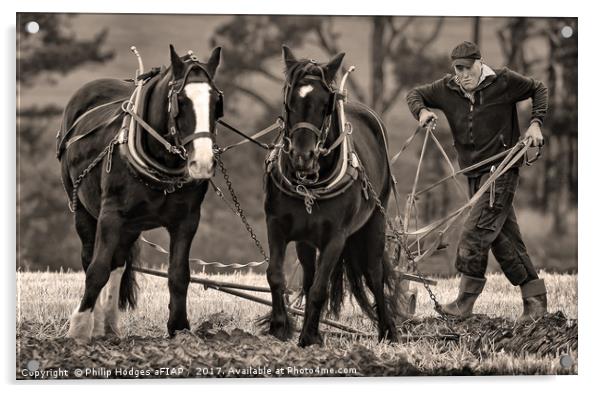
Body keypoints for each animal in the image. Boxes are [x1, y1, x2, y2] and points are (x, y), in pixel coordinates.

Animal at [58, 45, 223, 340]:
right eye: (181, 101)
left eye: (216, 103)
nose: (203, 163)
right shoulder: (110, 215)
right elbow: (96, 270)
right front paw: (78, 328)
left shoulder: (187, 221)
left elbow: (179, 274)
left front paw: (179, 327)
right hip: (84, 209)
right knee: (91, 259)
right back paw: (95, 323)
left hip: (132, 224)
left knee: (118, 262)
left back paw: (109, 326)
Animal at [262, 46, 404, 346]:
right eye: (289, 101)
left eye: (325, 104)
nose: (302, 157)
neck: (310, 186)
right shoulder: (276, 225)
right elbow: (277, 276)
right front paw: (280, 327)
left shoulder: (336, 237)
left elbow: (320, 289)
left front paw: (307, 337)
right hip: (305, 239)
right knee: (308, 277)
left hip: (375, 221)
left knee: (374, 273)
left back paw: (388, 330)